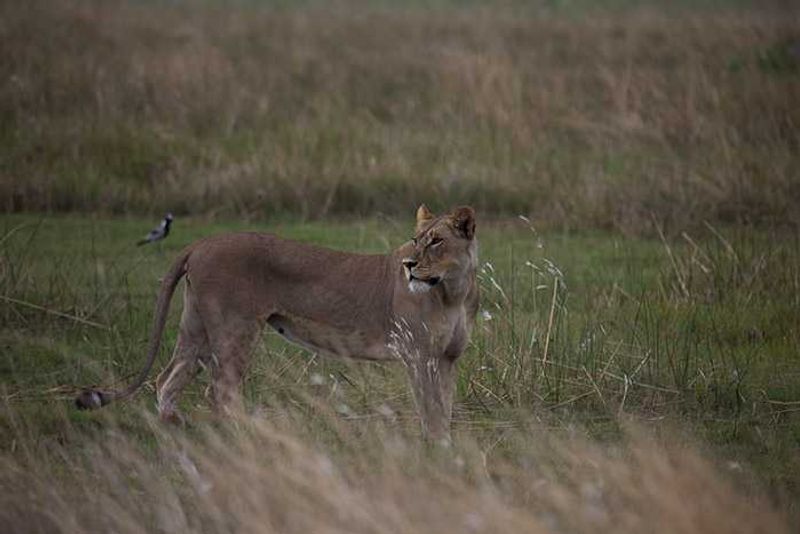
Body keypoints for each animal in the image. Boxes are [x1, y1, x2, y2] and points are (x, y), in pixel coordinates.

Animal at [76, 205, 478, 442]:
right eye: (416, 240)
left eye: (436, 241)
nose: (409, 265)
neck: (452, 290)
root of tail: (201, 243)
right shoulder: (418, 355)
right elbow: (430, 405)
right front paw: (433, 449)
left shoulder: (447, 359)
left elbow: (444, 404)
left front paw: (446, 447)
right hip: (237, 328)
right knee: (220, 391)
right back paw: (246, 437)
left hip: (196, 328)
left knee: (167, 378)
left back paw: (175, 430)